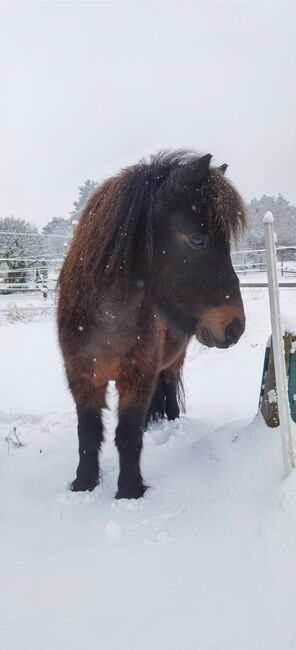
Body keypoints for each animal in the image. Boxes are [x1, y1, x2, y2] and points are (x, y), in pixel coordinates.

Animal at [57, 151, 245, 496]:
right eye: (197, 239)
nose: (234, 327)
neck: (107, 323)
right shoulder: (82, 377)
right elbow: (88, 434)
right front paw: (84, 484)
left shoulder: (138, 375)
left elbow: (128, 435)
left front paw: (129, 490)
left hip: (171, 362)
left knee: (168, 390)